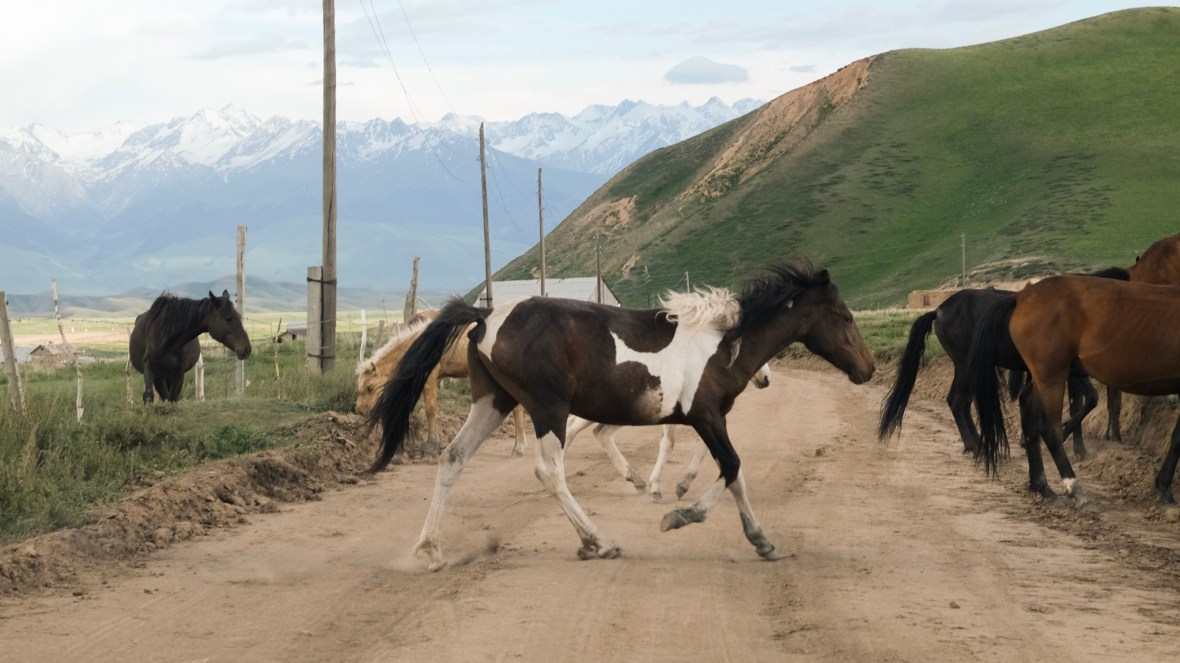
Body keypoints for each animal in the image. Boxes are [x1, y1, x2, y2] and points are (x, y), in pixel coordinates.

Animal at [355, 310, 528, 458]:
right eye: (360, 388)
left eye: (370, 388)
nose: (360, 411)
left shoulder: (430, 378)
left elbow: (430, 409)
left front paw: (431, 446)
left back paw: (519, 447)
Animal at [564, 362, 772, 502]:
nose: (766, 379)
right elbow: (668, 443)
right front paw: (656, 488)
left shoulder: (709, 417)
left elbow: (706, 447)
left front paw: (683, 485)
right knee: (572, 429)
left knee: (600, 432)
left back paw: (635, 479)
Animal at [967, 275, 1180, 504]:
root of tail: (1022, 296)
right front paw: (1164, 487)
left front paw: (1162, 485)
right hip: (1052, 377)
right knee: (1049, 430)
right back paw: (1073, 486)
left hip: (1042, 379)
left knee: (1030, 419)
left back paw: (1042, 486)